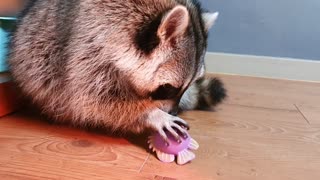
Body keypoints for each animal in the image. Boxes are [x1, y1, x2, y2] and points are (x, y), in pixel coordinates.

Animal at [8, 0, 226, 143]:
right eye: (168, 88)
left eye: (188, 85)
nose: (173, 111)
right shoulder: (87, 48)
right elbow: (90, 99)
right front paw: (151, 114)